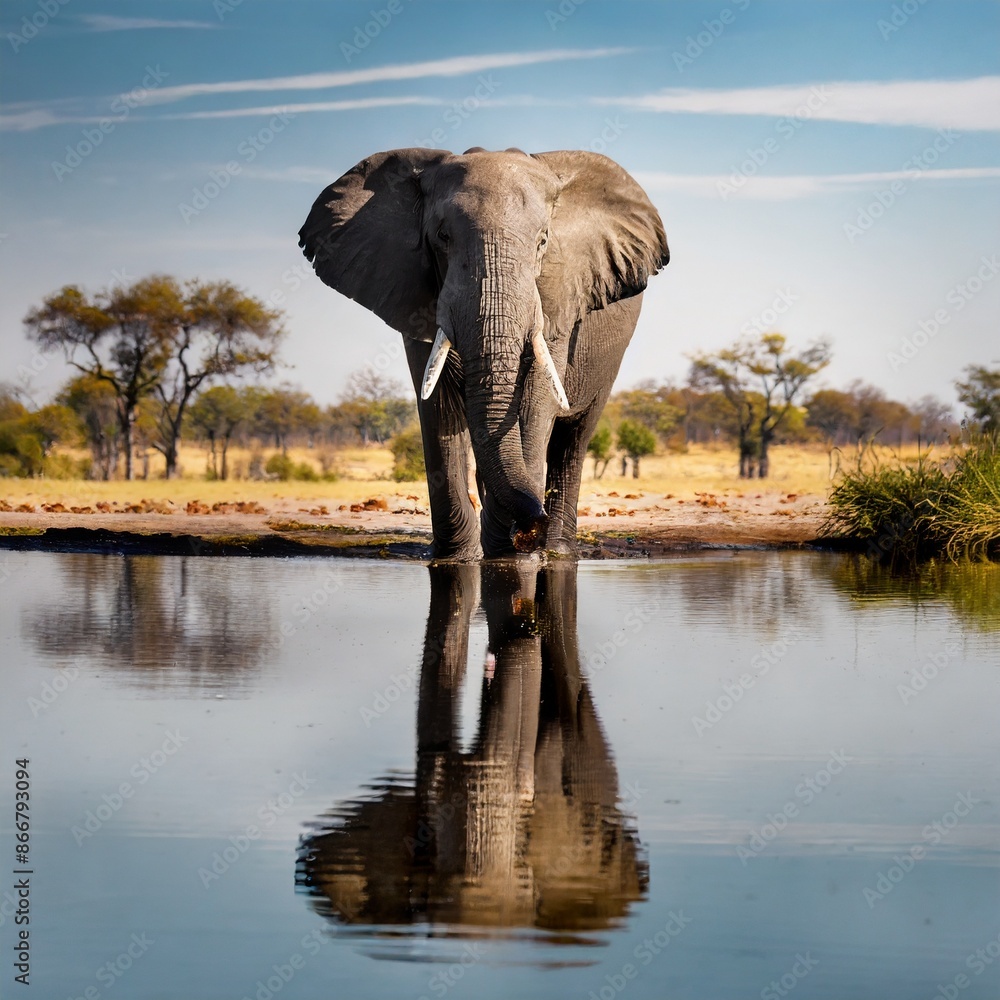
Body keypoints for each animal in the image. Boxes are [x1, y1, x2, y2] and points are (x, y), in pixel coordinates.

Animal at [299, 147, 669, 559]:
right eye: (442, 236)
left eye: (543, 241)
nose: (530, 528)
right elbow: (437, 406)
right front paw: (458, 557)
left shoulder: (558, 298)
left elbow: (535, 404)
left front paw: (509, 553)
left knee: (573, 441)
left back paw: (556, 549)